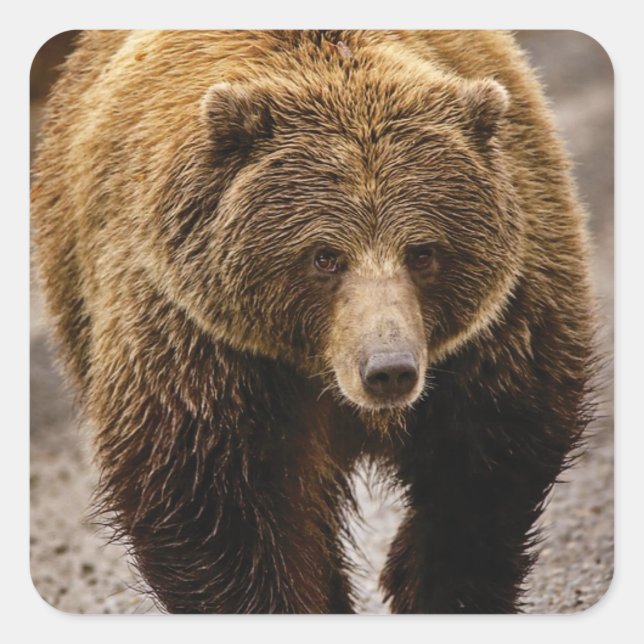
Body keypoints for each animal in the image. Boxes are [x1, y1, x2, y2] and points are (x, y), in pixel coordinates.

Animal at [31, 30, 596, 613]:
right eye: (324, 256)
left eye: (423, 252)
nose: (388, 370)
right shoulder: (199, 338)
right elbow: (209, 500)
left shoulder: (500, 323)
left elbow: (486, 468)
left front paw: (435, 586)